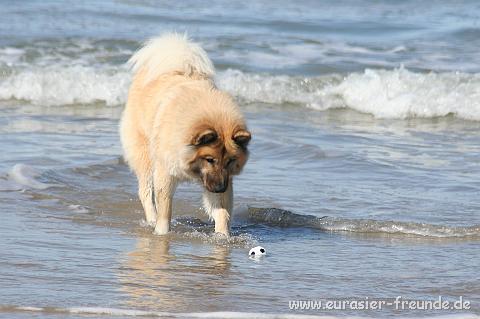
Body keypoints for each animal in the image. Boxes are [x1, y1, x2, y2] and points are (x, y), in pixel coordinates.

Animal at [119, 33, 251, 238]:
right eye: (210, 159)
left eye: (230, 161)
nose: (220, 188)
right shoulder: (165, 173)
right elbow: (165, 211)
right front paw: (161, 233)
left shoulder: (221, 180)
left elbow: (222, 212)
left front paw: (222, 237)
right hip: (146, 157)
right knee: (145, 192)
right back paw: (151, 220)